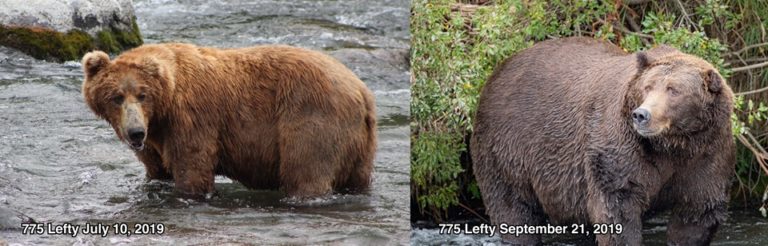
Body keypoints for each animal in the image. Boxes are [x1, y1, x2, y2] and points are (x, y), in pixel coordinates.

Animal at [80, 42, 376, 198]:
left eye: (142, 95)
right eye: (116, 97)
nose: (135, 133)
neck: (163, 110)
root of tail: (361, 89)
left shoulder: (191, 120)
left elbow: (193, 168)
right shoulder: (156, 141)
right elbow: (157, 170)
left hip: (312, 117)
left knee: (305, 169)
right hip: (359, 144)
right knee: (357, 179)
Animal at [472, 37, 736, 246]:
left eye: (674, 90)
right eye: (648, 86)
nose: (642, 115)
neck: (673, 145)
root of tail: (498, 70)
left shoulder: (708, 154)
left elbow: (697, 211)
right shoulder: (622, 149)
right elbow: (617, 206)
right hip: (508, 147)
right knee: (513, 207)